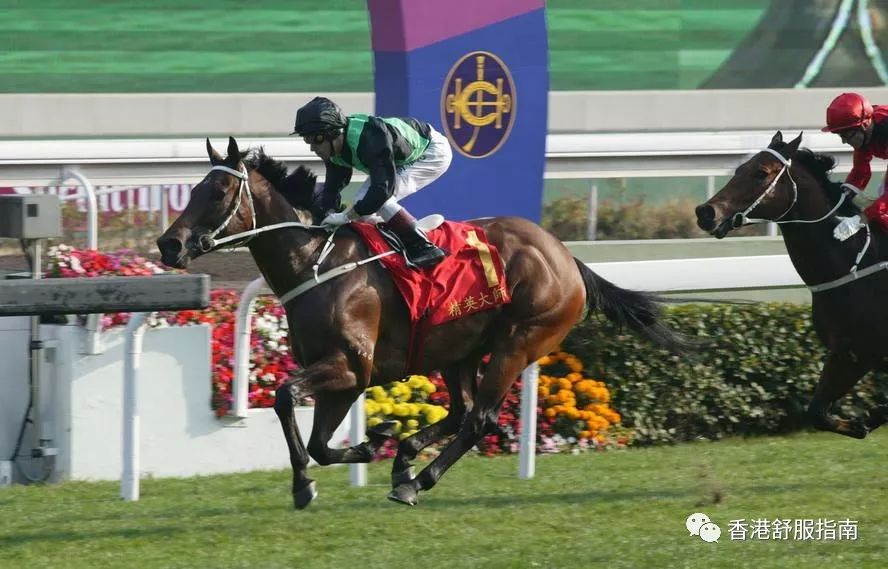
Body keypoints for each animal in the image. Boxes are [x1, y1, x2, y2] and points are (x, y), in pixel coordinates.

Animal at [158, 137, 693, 508]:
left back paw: (416, 480)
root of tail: (565, 256)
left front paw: (310, 481)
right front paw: (376, 438)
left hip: (519, 341)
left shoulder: (351, 368)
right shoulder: (346, 380)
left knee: (479, 419)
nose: (169, 244)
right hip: (459, 351)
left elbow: (288, 399)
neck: (314, 263)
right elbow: (320, 443)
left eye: (219, 190)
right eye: (193, 188)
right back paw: (403, 460)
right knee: (460, 412)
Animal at [695, 130, 888, 440]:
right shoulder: (848, 354)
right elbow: (816, 411)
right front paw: (864, 422)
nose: (705, 212)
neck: (857, 265)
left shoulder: (861, 355)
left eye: (761, 173)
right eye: (738, 170)